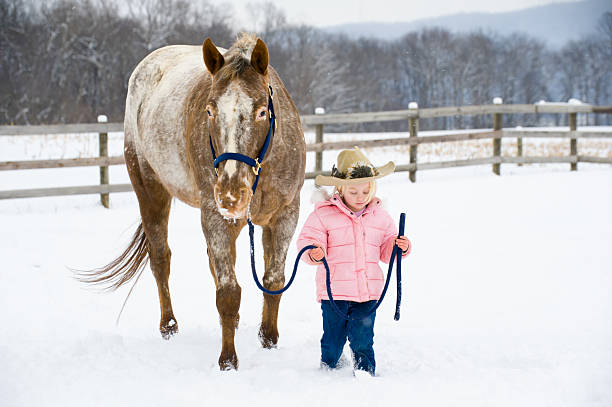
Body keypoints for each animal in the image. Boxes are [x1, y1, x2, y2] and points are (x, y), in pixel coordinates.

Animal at [82, 32, 306, 370]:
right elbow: (228, 293)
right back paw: (169, 326)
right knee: (161, 260)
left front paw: (268, 341)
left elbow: (273, 280)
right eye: (210, 111)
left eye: (261, 112)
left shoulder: (285, 215)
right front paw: (228, 362)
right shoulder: (215, 216)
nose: (230, 194)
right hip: (151, 191)